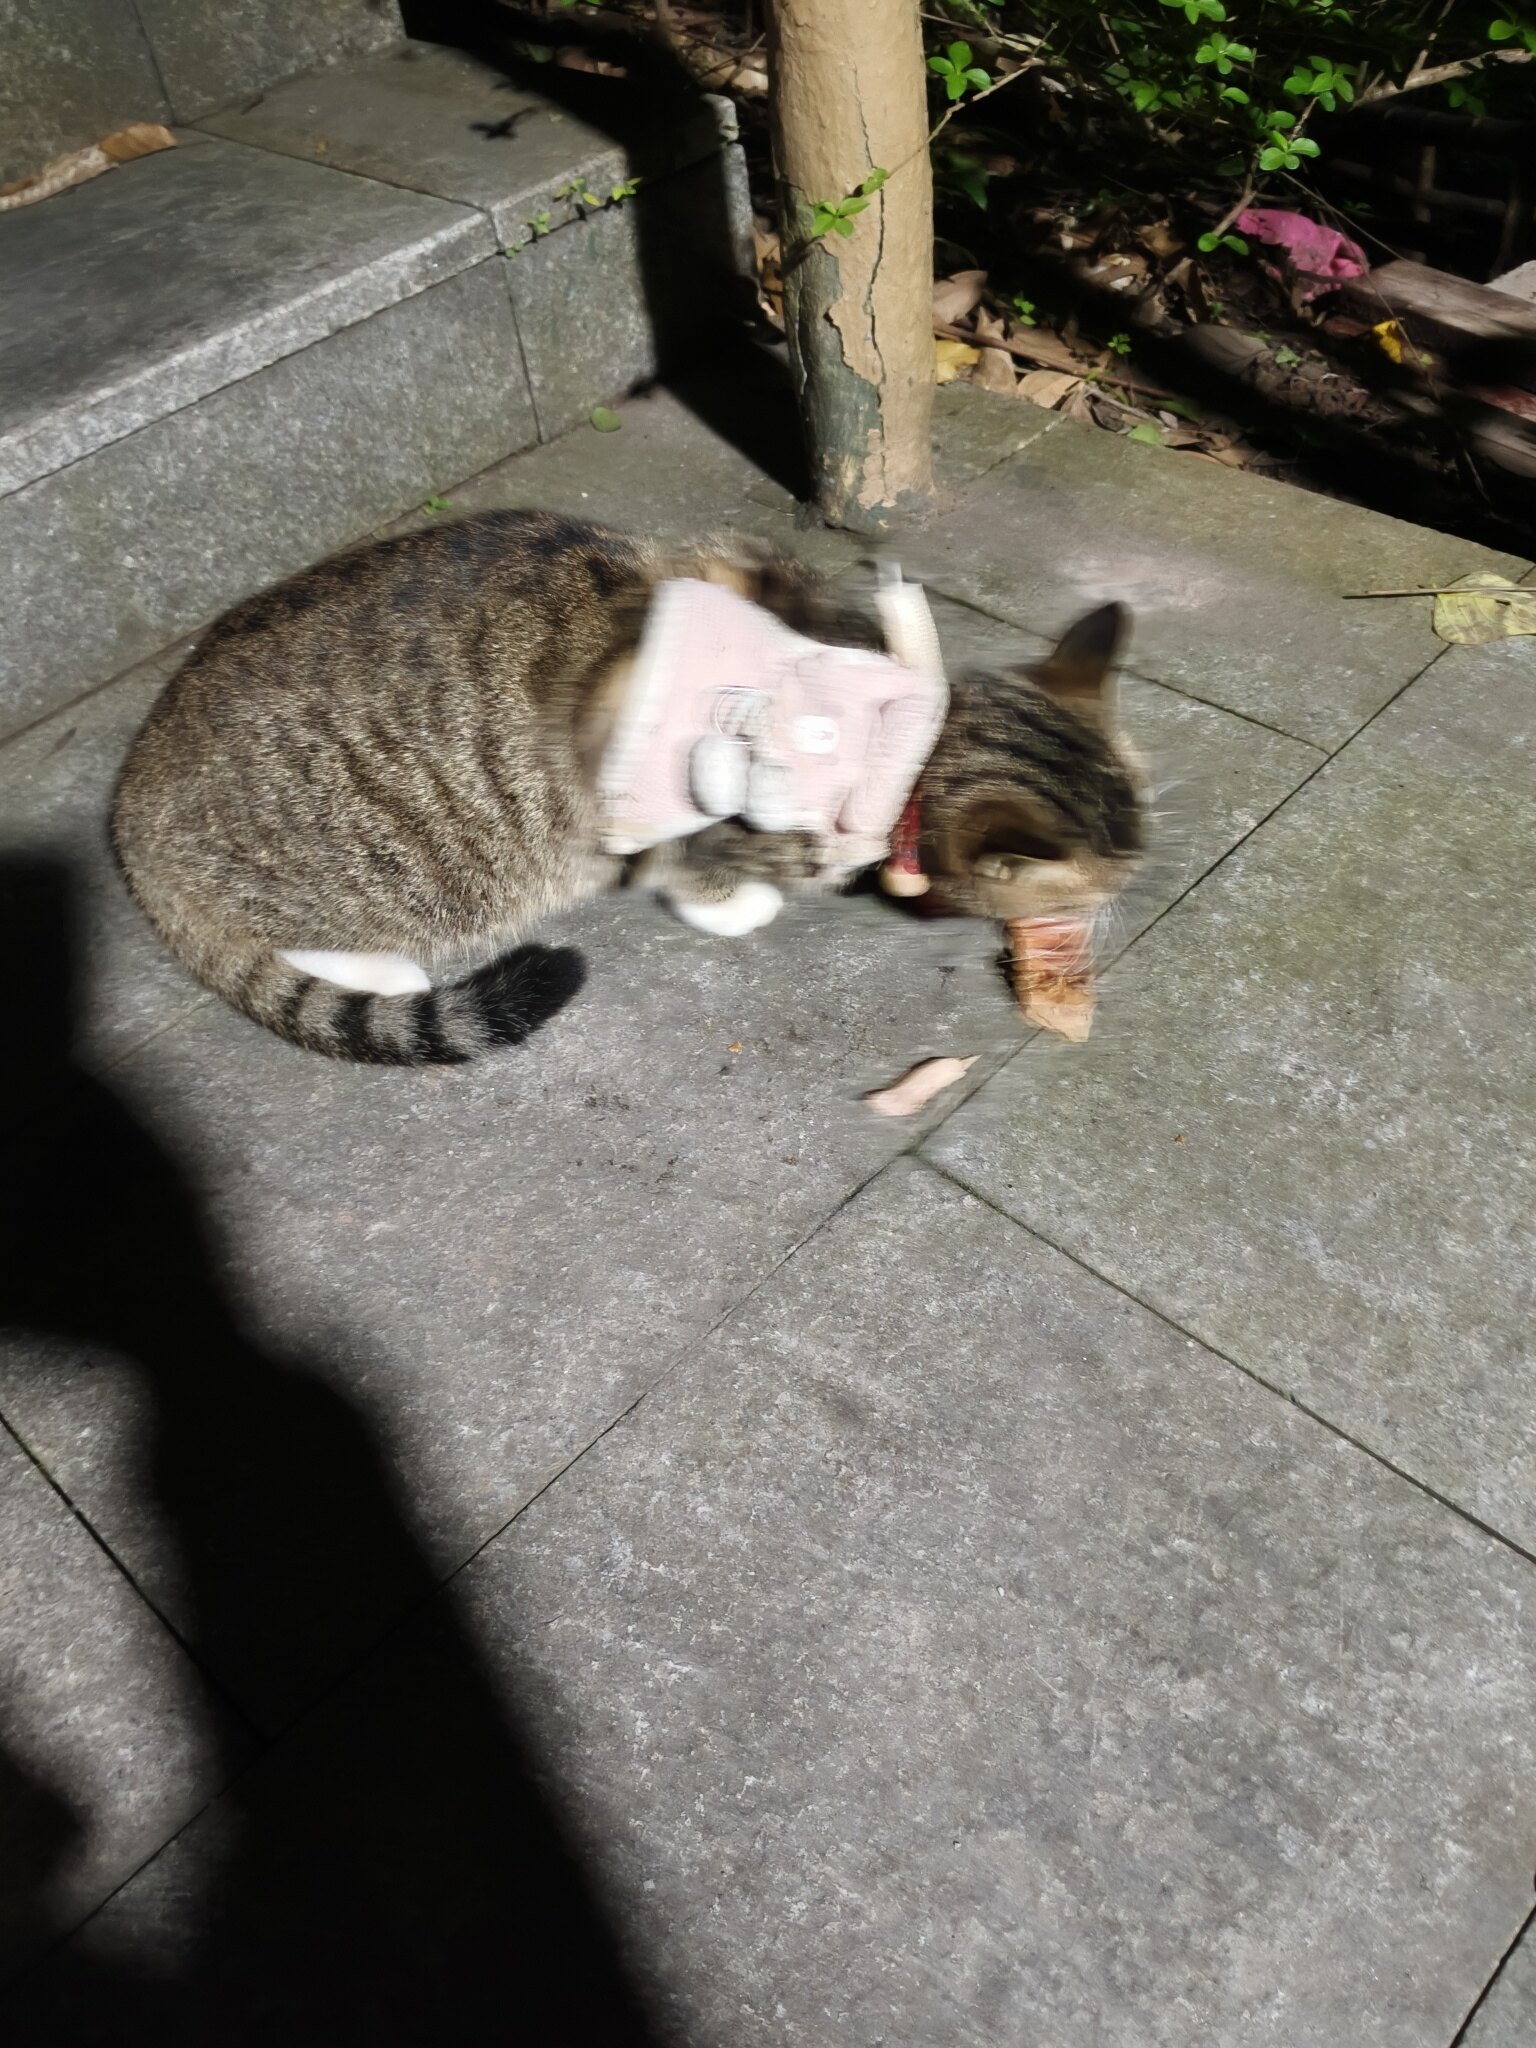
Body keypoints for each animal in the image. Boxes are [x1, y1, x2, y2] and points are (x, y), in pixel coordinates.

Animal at [111, 510, 1146, 1064]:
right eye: (1108, 883)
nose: (1128, 903)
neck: (908, 727)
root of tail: (131, 803)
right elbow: (700, 864)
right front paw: (739, 902)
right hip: (406, 865)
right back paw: (383, 968)